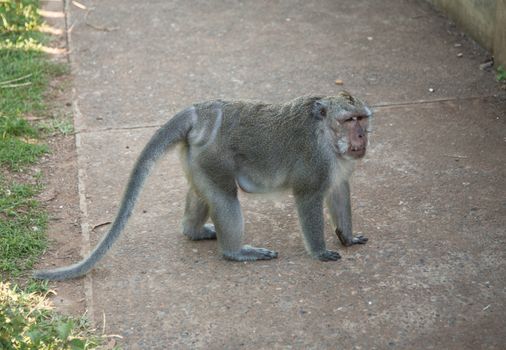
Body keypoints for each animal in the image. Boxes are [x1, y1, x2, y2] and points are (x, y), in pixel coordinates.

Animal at [31, 91, 372, 280]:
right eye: (349, 120)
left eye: (362, 118)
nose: (361, 136)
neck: (327, 135)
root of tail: (202, 112)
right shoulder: (316, 161)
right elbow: (309, 198)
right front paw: (320, 251)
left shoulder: (339, 163)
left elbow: (339, 191)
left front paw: (347, 236)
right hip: (213, 156)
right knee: (225, 198)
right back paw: (236, 252)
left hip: (197, 158)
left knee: (203, 193)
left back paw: (193, 231)